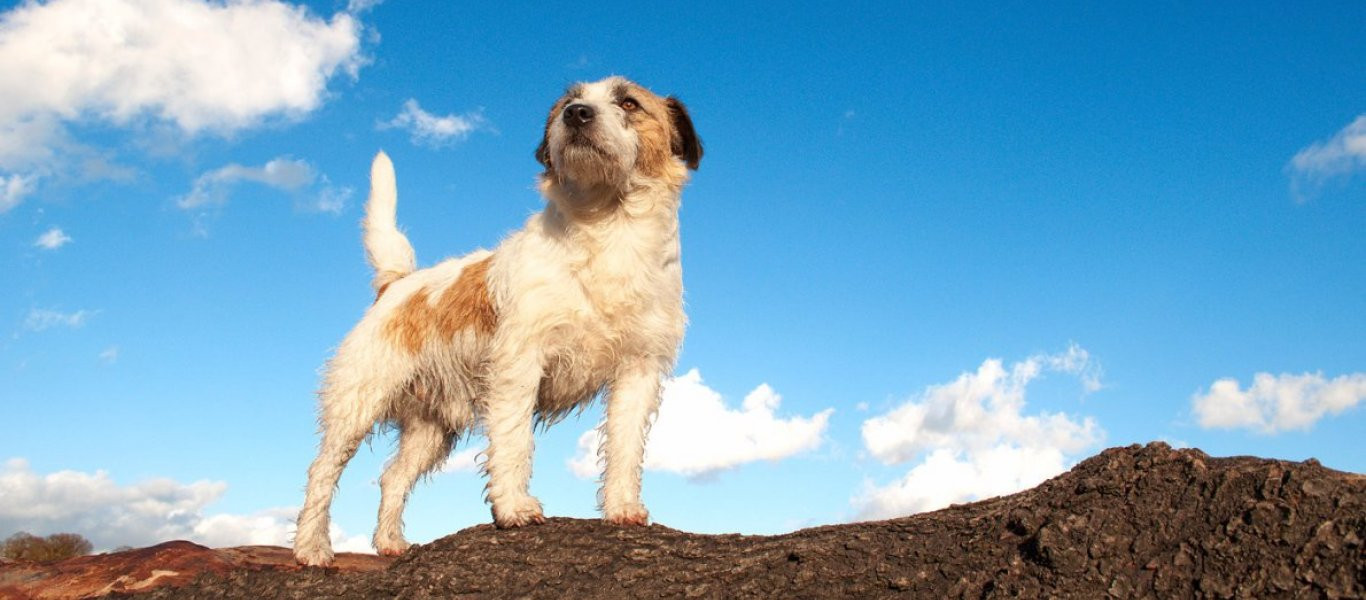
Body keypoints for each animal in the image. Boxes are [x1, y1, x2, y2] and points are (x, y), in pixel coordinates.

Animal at [296, 77, 704, 565]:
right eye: (569, 102)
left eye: (628, 102)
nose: (577, 114)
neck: (606, 228)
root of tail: (396, 284)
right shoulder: (519, 364)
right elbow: (513, 441)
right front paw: (513, 509)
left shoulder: (638, 370)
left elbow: (625, 446)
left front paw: (622, 507)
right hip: (357, 402)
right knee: (321, 472)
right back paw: (310, 548)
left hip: (432, 427)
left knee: (392, 476)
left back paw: (391, 543)